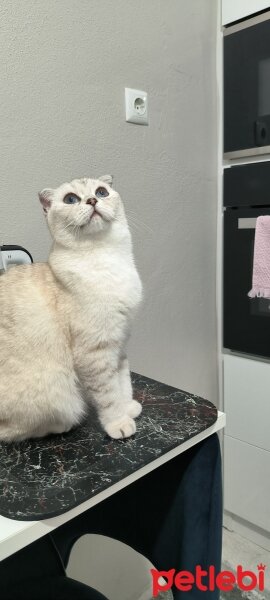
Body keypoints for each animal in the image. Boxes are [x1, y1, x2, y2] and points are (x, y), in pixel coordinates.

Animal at [0, 173, 143, 440]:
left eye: (101, 192)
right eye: (71, 199)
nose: (92, 201)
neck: (105, 258)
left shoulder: (118, 343)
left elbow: (123, 382)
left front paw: (128, 407)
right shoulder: (95, 352)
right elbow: (108, 395)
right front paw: (119, 423)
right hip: (57, 393)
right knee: (12, 431)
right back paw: (63, 425)